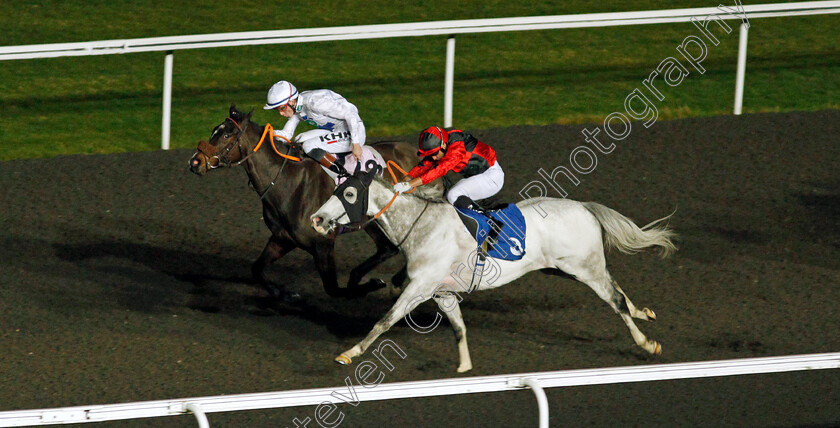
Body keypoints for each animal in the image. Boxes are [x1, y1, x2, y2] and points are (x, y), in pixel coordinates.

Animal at [190, 105, 426, 300]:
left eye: (226, 134)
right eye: (214, 130)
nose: (195, 161)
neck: (287, 181)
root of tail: (416, 153)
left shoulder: (323, 244)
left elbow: (333, 289)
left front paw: (373, 284)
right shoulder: (283, 239)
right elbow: (256, 269)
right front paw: (284, 294)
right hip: (373, 222)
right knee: (388, 249)